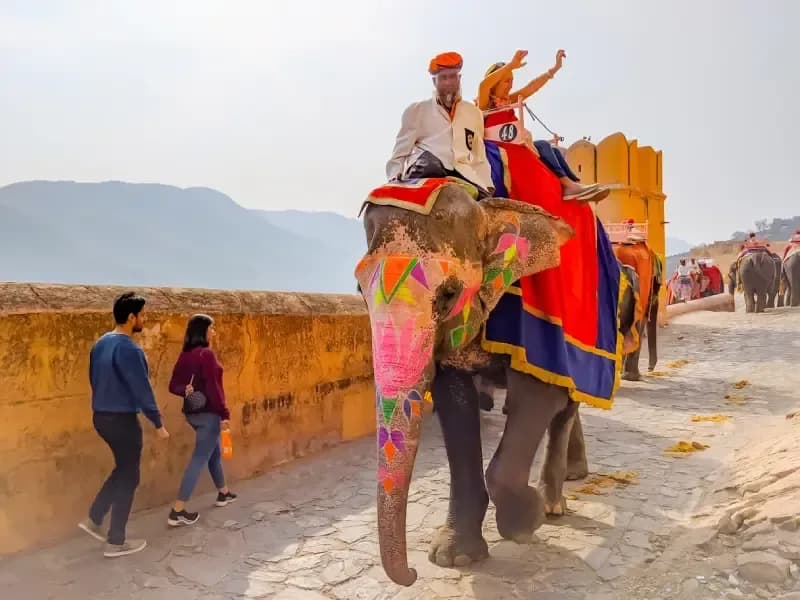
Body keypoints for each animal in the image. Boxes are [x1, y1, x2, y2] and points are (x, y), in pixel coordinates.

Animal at [355, 183, 636, 586]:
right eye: (359, 292)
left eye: (448, 294)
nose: (411, 572)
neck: (488, 208)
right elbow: (456, 408)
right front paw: (453, 557)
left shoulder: (534, 321)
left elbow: (537, 395)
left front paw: (527, 521)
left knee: (566, 406)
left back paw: (554, 504)